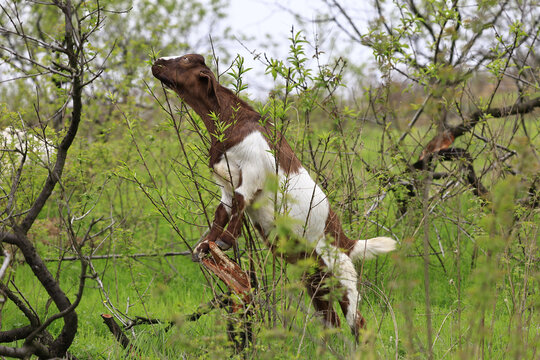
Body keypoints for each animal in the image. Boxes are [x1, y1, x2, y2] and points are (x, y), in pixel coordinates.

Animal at [152, 53, 396, 338]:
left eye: (186, 60)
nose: (157, 62)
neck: (232, 124)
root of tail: (347, 241)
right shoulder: (225, 184)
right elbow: (221, 212)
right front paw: (205, 246)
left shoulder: (252, 171)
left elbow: (240, 202)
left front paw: (224, 242)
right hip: (315, 281)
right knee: (331, 323)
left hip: (342, 276)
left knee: (358, 323)